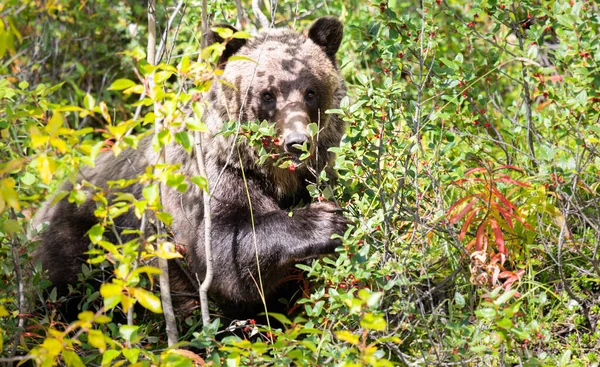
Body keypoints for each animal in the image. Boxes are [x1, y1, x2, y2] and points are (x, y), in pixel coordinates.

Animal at [32, 15, 350, 324]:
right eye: (267, 94)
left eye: (311, 91)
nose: (297, 141)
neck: (276, 177)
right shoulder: (212, 178)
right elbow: (225, 249)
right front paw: (324, 221)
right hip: (84, 240)